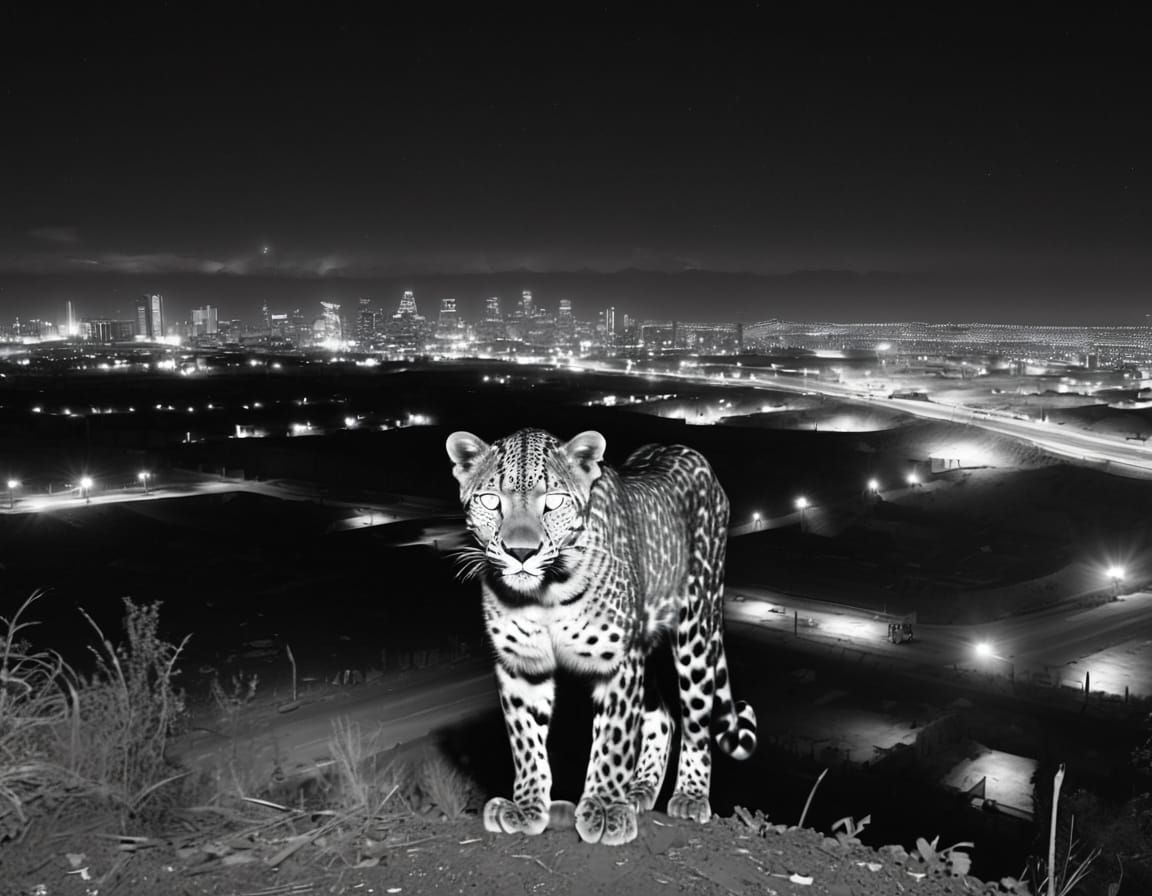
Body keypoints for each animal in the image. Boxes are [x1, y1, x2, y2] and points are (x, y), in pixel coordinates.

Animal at [445, 426, 757, 845]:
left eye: (554, 502)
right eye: (492, 501)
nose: (521, 553)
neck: (545, 594)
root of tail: (681, 448)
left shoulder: (619, 661)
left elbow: (614, 738)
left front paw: (606, 809)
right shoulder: (520, 663)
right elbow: (525, 738)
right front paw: (527, 807)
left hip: (696, 626)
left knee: (695, 719)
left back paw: (689, 796)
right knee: (662, 717)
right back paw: (640, 790)